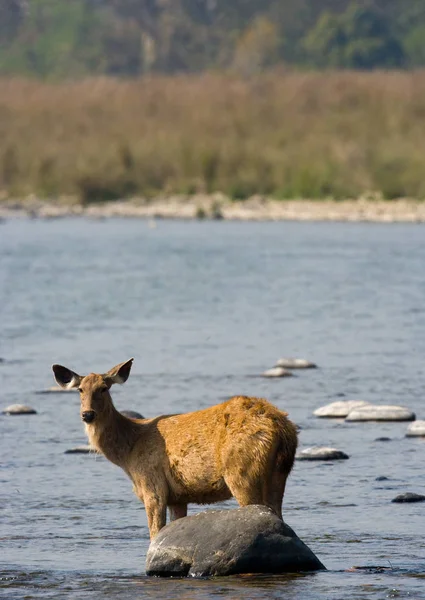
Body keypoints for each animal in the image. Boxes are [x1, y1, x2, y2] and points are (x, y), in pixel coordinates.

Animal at [53, 358, 296, 536]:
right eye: (80, 390)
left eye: (104, 388)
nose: (88, 414)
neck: (128, 453)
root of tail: (281, 426)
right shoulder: (178, 497)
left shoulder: (153, 486)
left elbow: (154, 535)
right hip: (279, 474)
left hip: (241, 471)